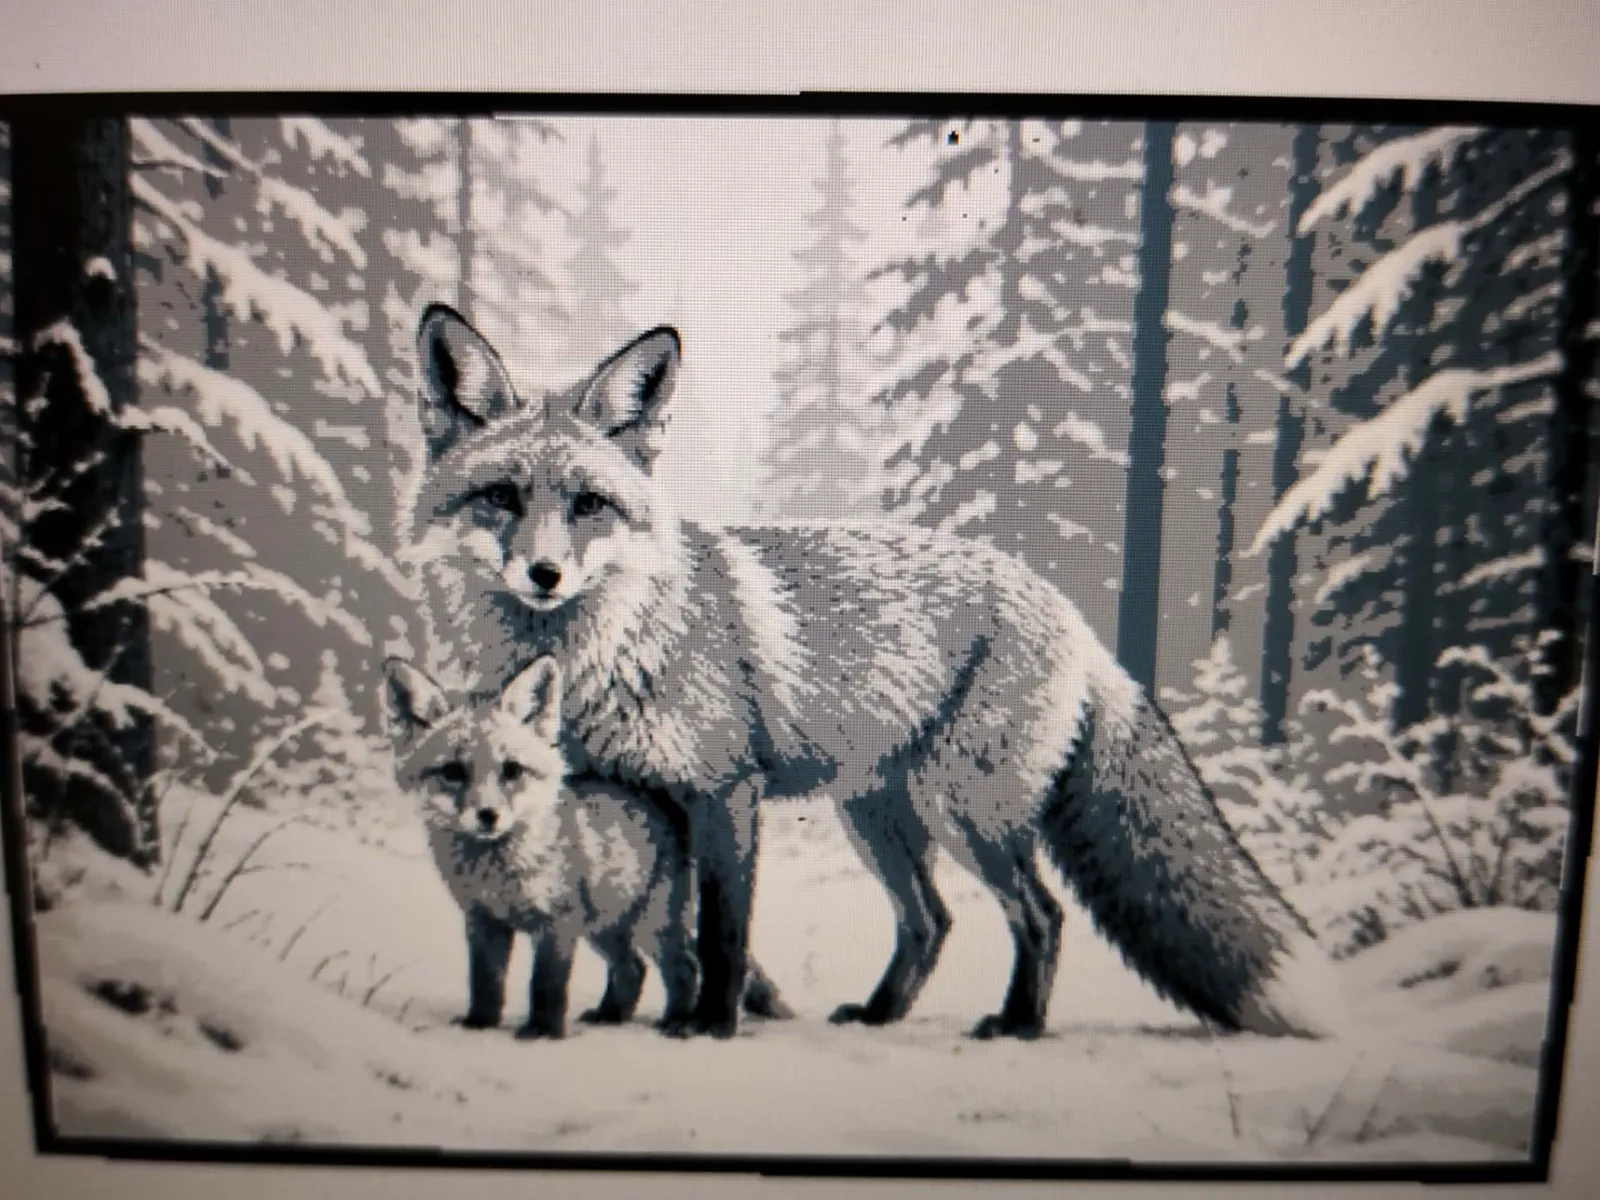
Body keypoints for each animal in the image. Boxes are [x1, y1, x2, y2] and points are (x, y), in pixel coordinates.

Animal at [382, 652, 792, 1039]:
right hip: (606, 926)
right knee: (633, 968)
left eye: (511, 770)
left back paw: (677, 1021)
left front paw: (543, 1032)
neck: (499, 873)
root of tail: (662, 800)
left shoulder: (559, 922)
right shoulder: (483, 921)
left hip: (651, 924)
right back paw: (612, 1016)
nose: (488, 816)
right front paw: (479, 1026)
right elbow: (485, 982)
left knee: (684, 967)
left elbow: (545, 984)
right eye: (452, 772)